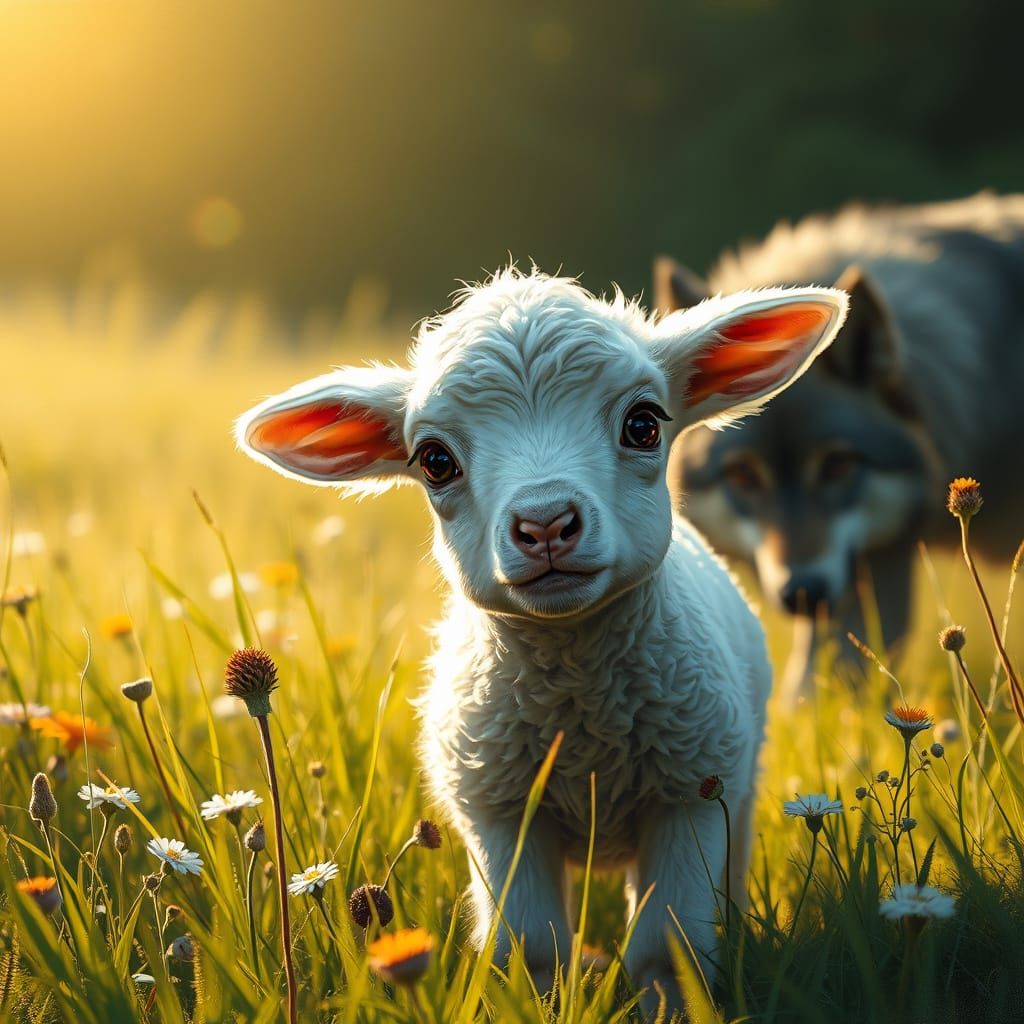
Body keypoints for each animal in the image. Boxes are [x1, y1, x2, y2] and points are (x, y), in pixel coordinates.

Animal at [236, 268, 847, 1011]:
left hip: (735, 784)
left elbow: (667, 950)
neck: (581, 720)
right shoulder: (497, 813)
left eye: (644, 423)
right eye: (434, 461)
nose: (546, 521)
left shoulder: (688, 795)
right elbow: (529, 950)